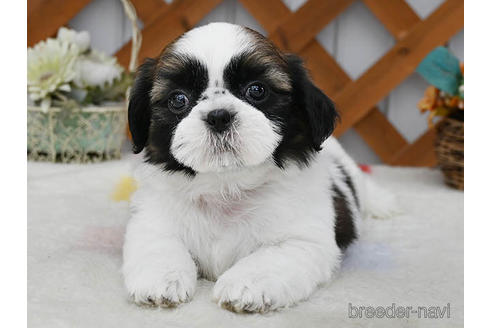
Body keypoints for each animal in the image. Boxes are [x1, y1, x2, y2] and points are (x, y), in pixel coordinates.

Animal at [123, 22, 396, 312]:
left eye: (257, 90)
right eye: (178, 99)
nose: (219, 116)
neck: (226, 186)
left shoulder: (304, 240)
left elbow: (271, 257)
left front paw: (245, 284)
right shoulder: (152, 220)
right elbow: (159, 244)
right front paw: (161, 278)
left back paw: (382, 202)